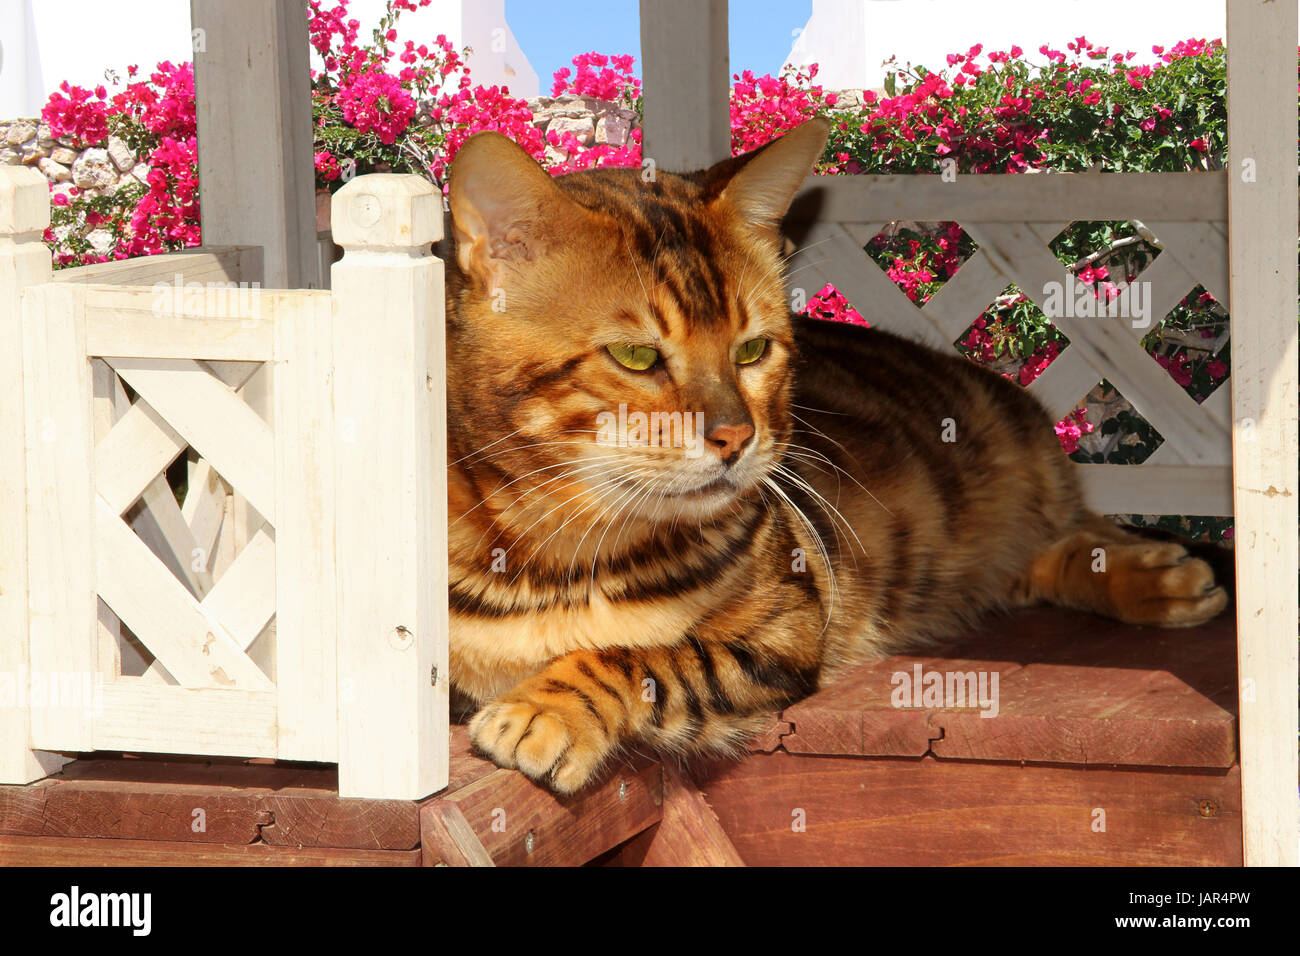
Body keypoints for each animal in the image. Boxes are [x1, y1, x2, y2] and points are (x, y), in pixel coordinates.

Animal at [441, 119, 1222, 790]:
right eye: (636, 356)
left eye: (753, 349)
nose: (735, 438)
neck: (564, 552)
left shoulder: (784, 630)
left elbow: (649, 656)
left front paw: (549, 705)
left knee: (1081, 535)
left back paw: (1155, 576)